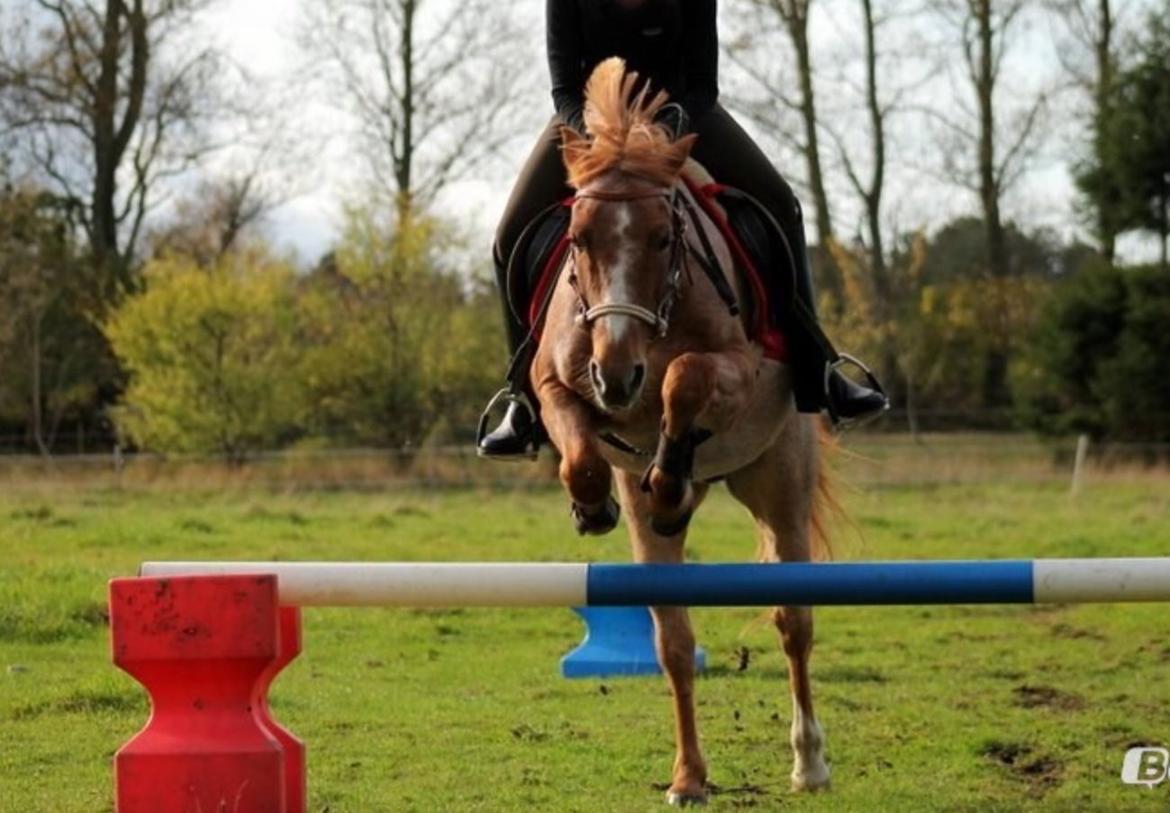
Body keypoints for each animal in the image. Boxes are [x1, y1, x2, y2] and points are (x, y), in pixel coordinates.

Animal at [529, 57, 833, 804]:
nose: (616, 375)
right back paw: (689, 776)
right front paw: (593, 506)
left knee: (793, 620)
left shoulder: (740, 368)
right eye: (578, 239)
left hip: (779, 477)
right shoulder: (554, 386)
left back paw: (809, 761)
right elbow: (580, 455)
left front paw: (670, 469)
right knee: (671, 638)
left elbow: (686, 377)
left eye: (664, 238)